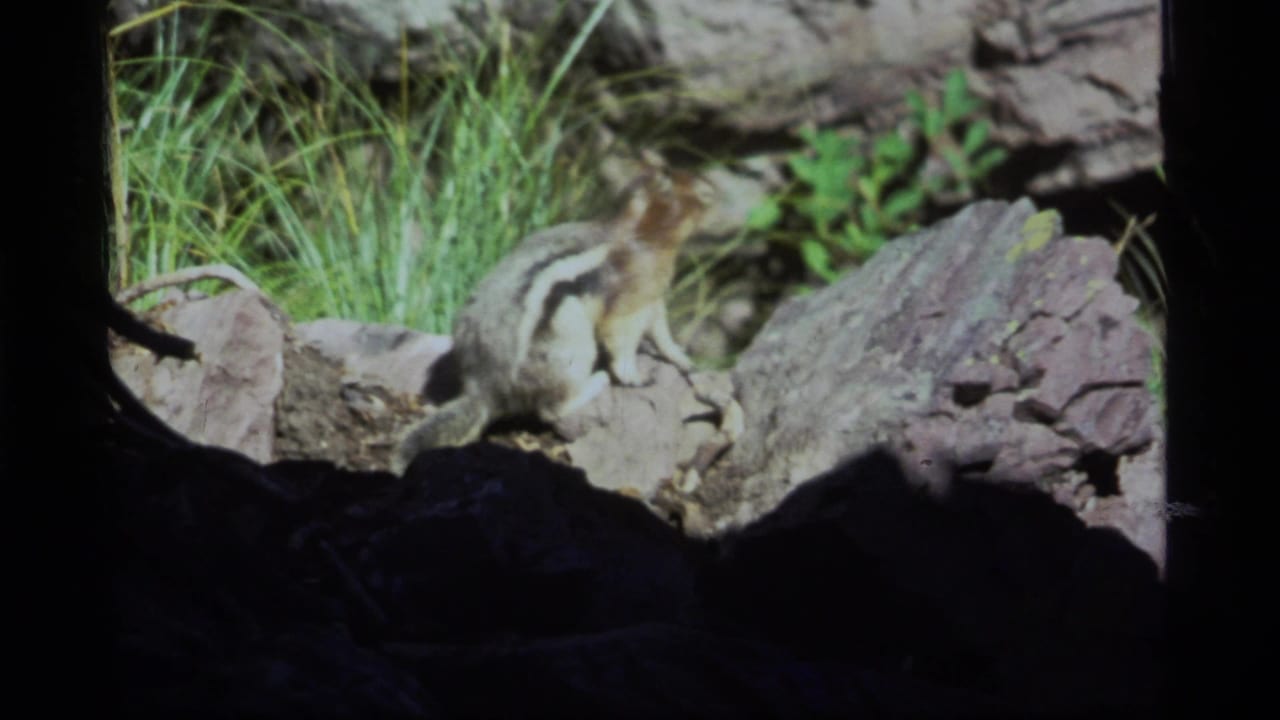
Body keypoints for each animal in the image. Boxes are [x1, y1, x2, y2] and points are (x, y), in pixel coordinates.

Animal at [391, 167, 716, 474]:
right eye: (694, 189)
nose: (714, 191)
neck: (643, 232)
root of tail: (484, 387)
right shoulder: (631, 297)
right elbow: (622, 338)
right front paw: (636, 376)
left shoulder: (653, 296)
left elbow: (662, 333)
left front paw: (684, 360)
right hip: (572, 348)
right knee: (552, 409)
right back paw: (596, 381)